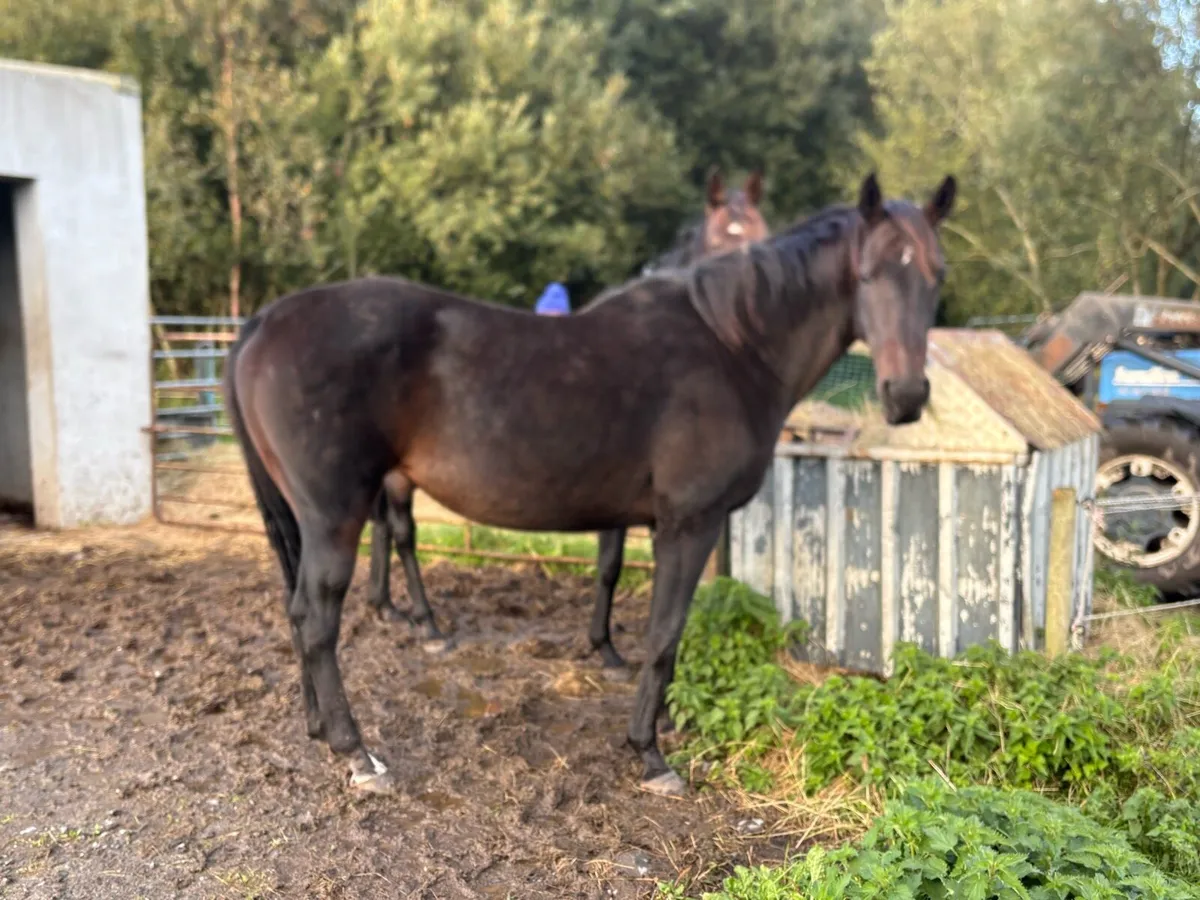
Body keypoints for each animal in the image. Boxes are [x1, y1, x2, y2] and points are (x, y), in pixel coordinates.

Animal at [362, 167, 771, 666]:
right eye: (720, 240)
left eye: (764, 233)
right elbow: (610, 564)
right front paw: (605, 647)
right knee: (401, 531)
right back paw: (425, 621)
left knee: (383, 526)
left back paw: (386, 606)